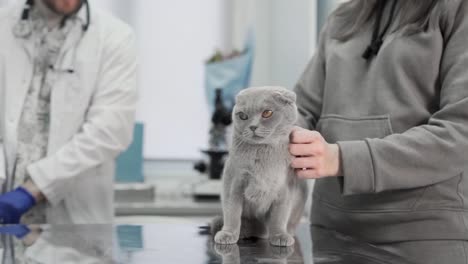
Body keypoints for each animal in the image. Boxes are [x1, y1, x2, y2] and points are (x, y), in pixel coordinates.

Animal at [213, 86, 308, 248]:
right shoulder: (234, 181)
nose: (252, 126)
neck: (263, 155)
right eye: (242, 116)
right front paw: (228, 234)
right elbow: (232, 212)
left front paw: (280, 236)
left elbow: (279, 216)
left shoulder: (285, 187)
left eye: (267, 113)